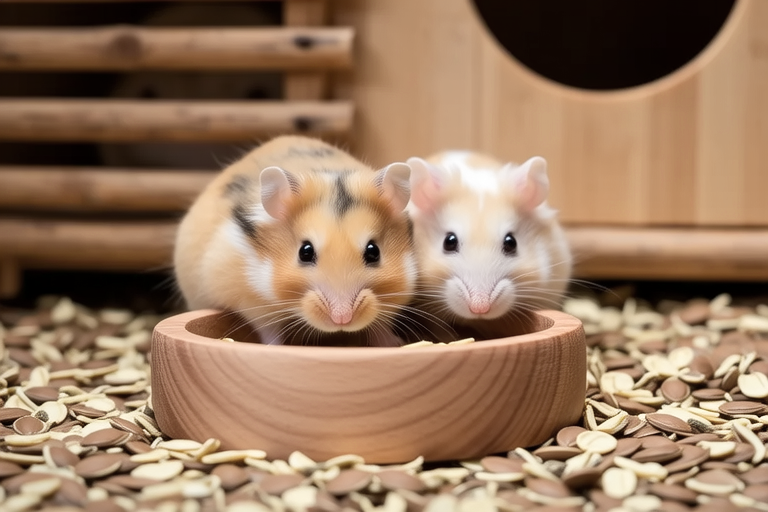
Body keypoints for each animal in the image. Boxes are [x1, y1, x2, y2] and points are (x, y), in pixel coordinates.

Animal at [174, 135, 417, 347]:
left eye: (373, 252)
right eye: (305, 252)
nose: (342, 319)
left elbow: (381, 325)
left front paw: (395, 343)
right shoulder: (250, 300)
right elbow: (267, 328)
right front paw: (276, 347)